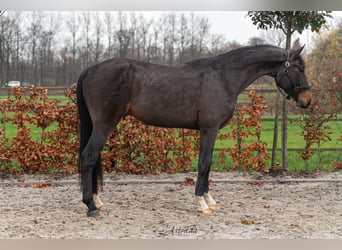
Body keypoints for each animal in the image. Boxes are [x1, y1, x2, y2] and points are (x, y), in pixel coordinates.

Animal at [76, 45, 312, 217]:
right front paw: (202, 203)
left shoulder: (211, 131)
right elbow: (203, 164)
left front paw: (210, 201)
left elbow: (208, 166)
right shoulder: (209, 129)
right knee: (89, 157)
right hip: (104, 124)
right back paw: (91, 207)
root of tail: (90, 69)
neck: (223, 77)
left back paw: (97, 201)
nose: (307, 100)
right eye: (300, 69)